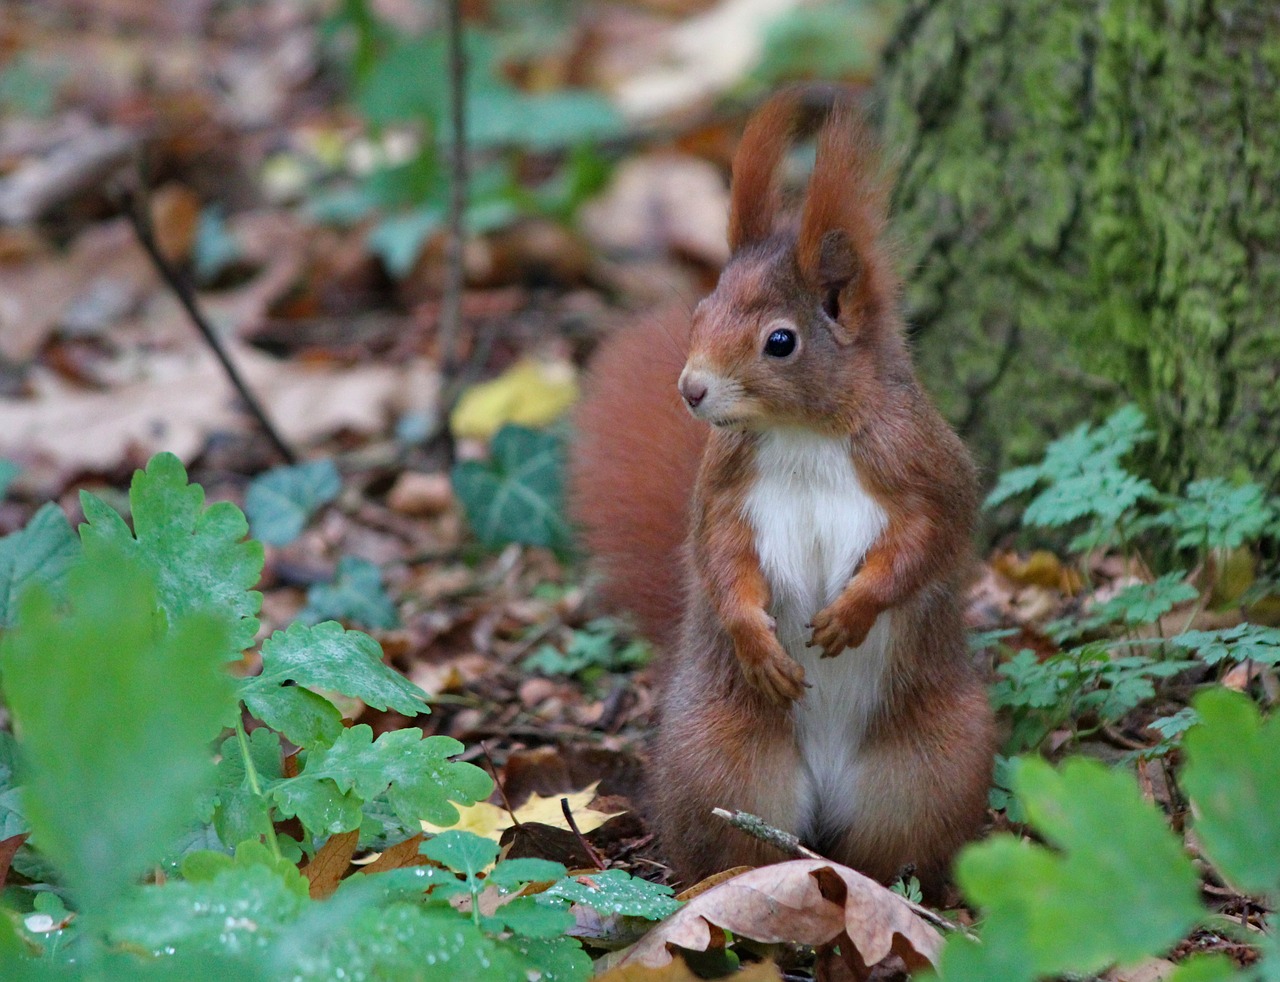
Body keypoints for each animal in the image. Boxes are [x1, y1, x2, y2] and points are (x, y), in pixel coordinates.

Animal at [565, 88, 993, 896]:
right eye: (699, 314)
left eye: (781, 342)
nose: (691, 389)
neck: (803, 436)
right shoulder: (726, 491)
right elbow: (722, 559)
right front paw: (756, 641)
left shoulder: (921, 469)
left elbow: (926, 543)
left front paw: (852, 612)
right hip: (723, 760)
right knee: (740, 842)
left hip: (934, 764)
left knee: (896, 844)